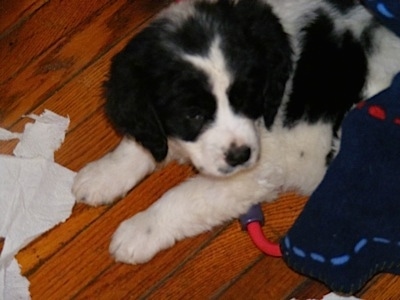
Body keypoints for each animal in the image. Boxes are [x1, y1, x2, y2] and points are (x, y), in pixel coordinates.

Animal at [73, 0, 400, 262]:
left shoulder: (259, 168)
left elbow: (187, 196)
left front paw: (140, 231)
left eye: (246, 99)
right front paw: (103, 175)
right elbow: (144, 144)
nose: (240, 156)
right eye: (193, 114)